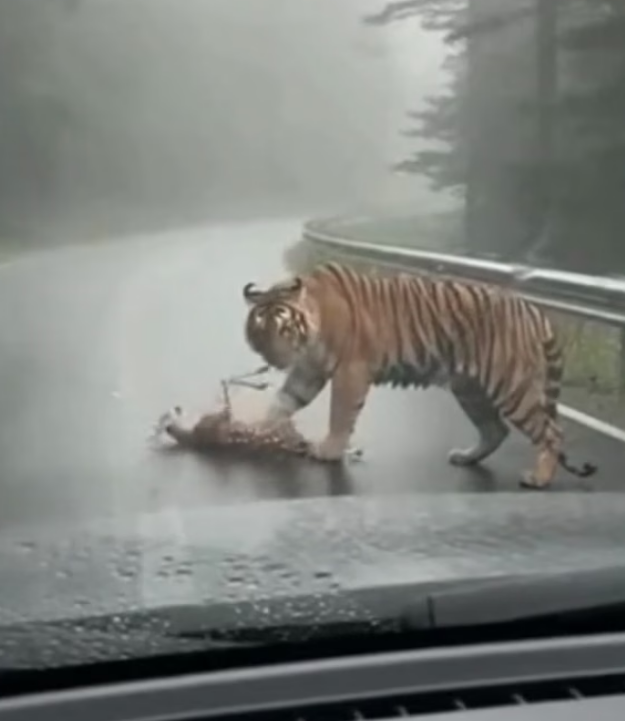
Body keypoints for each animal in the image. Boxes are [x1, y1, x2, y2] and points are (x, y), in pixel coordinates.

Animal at [242, 261, 597, 489]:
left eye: (284, 329)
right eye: (259, 331)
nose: (271, 357)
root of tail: (535, 310)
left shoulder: (349, 372)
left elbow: (340, 414)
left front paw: (328, 451)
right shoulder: (309, 370)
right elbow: (284, 401)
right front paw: (257, 430)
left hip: (512, 387)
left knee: (551, 432)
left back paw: (539, 479)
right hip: (470, 389)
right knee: (496, 430)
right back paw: (466, 457)